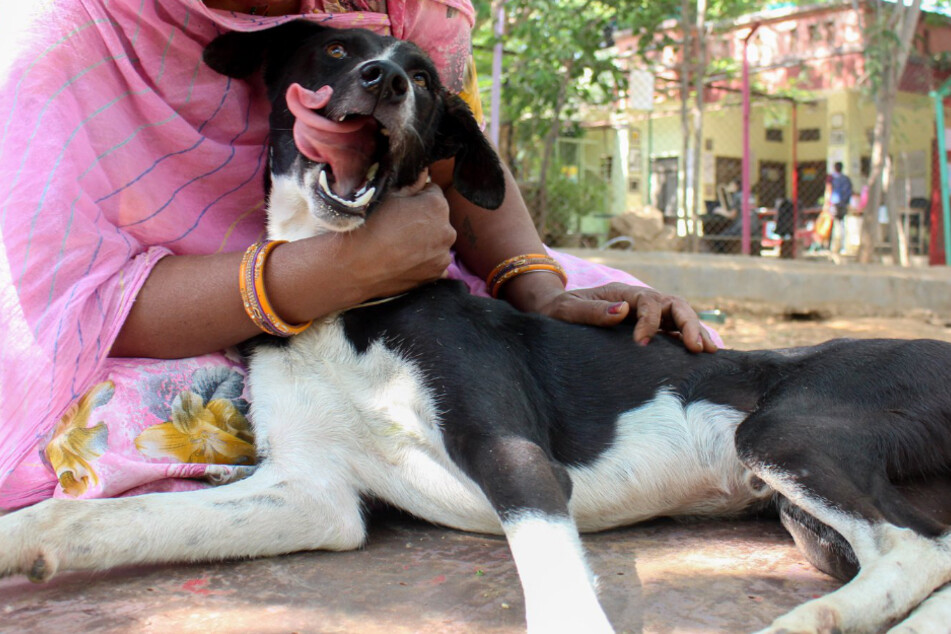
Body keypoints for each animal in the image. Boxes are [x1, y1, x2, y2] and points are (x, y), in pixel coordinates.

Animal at [1, 21, 951, 632]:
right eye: (336, 50)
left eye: (423, 78)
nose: (384, 80)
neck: (349, 308)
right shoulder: (316, 492)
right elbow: (92, 520)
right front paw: (21, 541)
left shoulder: (513, 456)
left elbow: (559, 595)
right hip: (801, 516)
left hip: (784, 431)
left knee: (919, 548)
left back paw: (813, 621)